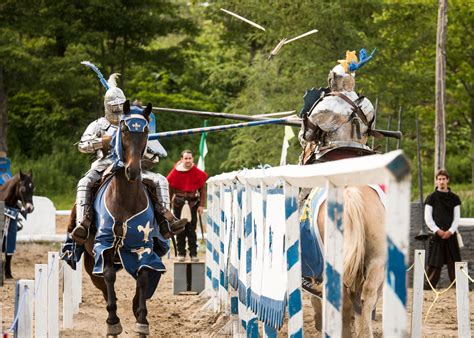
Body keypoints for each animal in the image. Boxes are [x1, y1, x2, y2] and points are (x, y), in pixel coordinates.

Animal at [69, 101, 167, 336]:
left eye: (146, 132)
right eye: (124, 131)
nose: (133, 171)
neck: (125, 198)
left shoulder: (142, 246)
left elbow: (143, 276)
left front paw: (142, 320)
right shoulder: (104, 245)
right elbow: (109, 277)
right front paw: (113, 322)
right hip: (90, 261)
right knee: (104, 286)